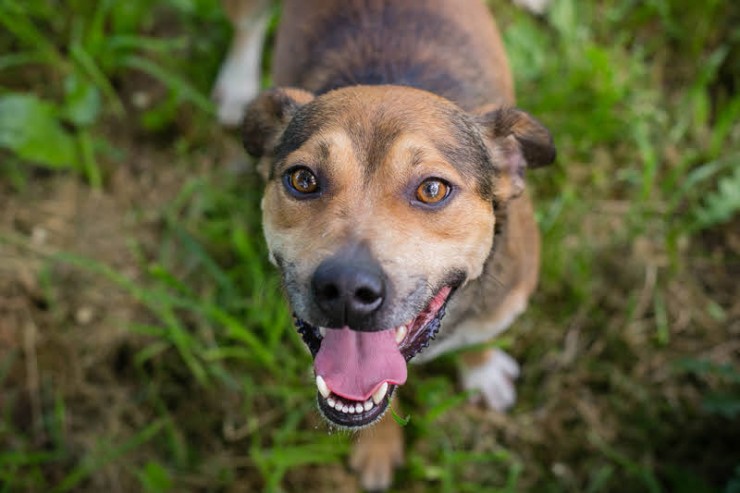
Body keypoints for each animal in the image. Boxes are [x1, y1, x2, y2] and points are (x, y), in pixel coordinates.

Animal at [220, 0, 556, 488]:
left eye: (432, 189)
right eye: (302, 180)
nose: (345, 290)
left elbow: (479, 337)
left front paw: (481, 369)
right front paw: (376, 451)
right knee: (247, 24)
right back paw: (235, 86)